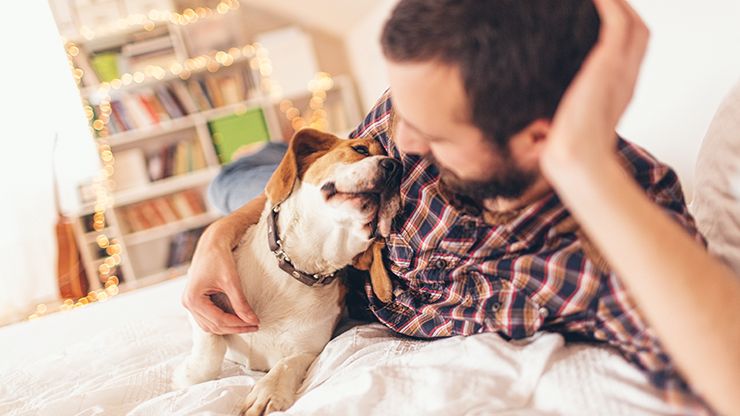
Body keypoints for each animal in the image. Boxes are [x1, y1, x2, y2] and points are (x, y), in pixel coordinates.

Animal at [173, 128, 402, 414]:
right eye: (360, 149)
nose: (396, 168)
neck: (297, 267)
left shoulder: (307, 349)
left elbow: (287, 364)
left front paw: (267, 391)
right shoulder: (206, 302)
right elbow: (209, 349)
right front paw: (188, 373)